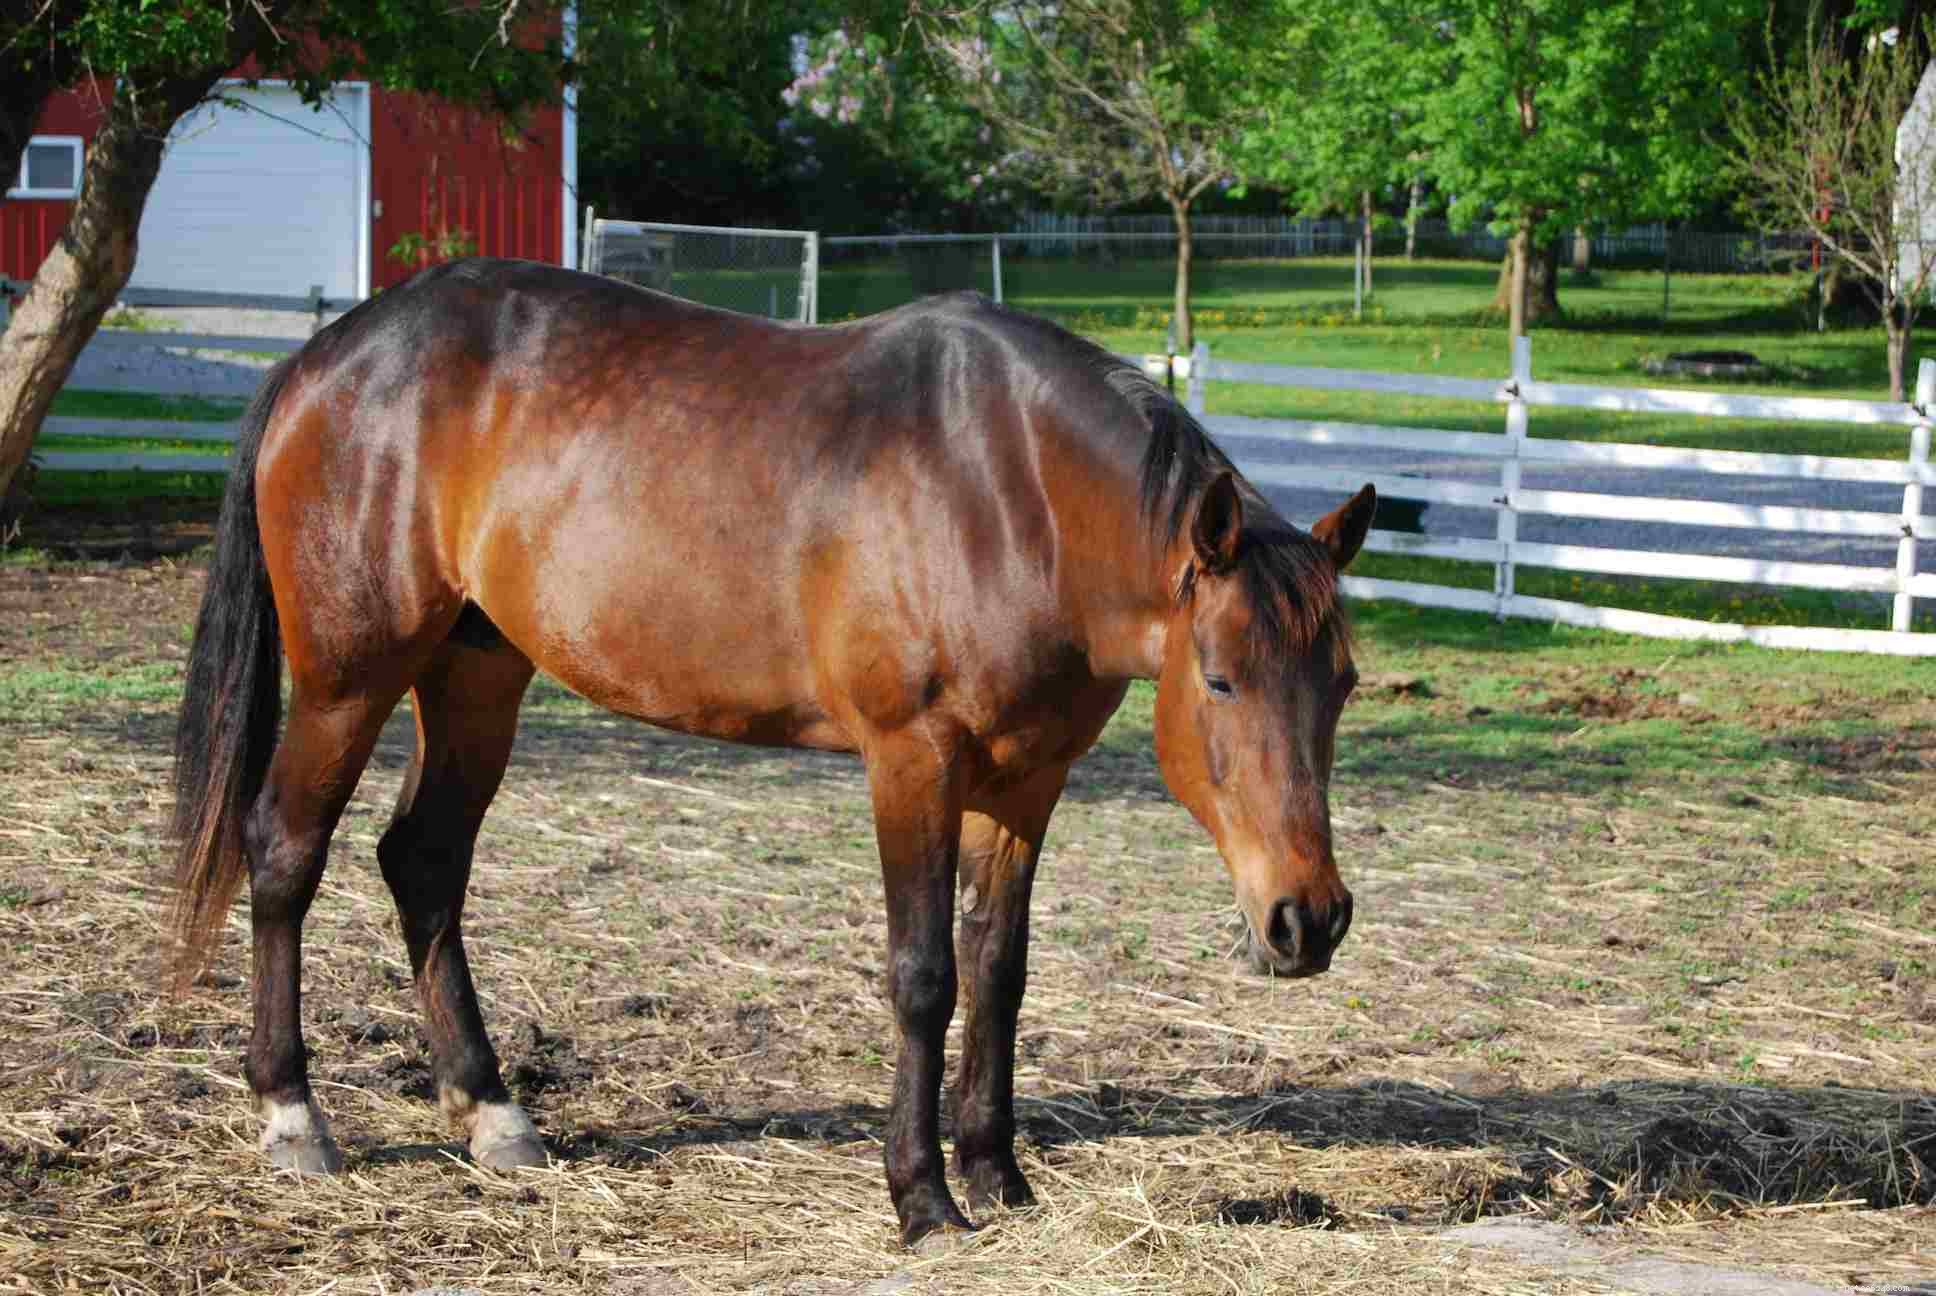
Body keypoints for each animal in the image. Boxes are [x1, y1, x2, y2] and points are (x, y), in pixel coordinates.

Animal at [170, 257, 1375, 1248]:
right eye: (1219, 678)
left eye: (1345, 684)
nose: (1307, 919)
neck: (1013, 496)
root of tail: (328, 354)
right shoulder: (913, 761)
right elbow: (924, 975)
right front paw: (922, 1198)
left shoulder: (1028, 780)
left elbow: (999, 970)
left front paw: (1000, 1178)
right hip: (349, 680)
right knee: (285, 852)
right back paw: (293, 1117)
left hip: (475, 673)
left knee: (423, 861)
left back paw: (492, 1113)